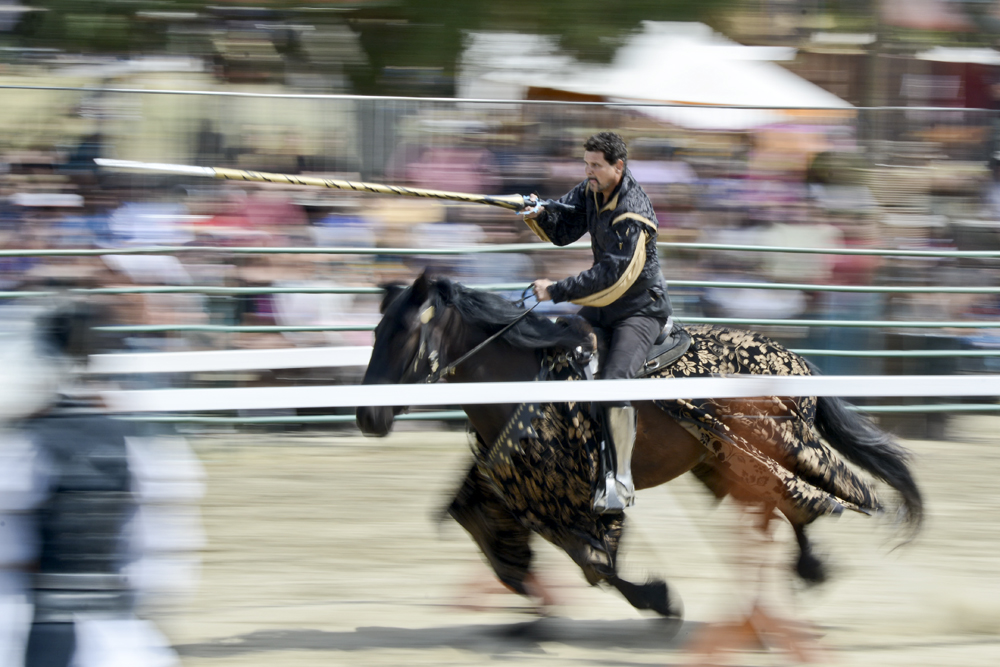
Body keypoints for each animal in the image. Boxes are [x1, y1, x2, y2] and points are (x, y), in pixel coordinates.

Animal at [358, 274, 920, 620]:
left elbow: (598, 563)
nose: (367, 417)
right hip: (732, 457)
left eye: (404, 335)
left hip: (772, 447)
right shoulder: (513, 490)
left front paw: (660, 600)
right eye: (377, 330)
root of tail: (795, 361)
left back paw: (810, 569)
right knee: (792, 502)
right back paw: (810, 569)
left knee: (810, 497)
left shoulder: (572, 497)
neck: (522, 377)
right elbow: (511, 551)